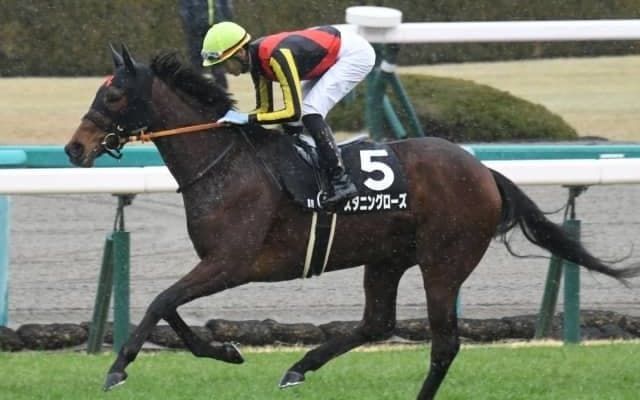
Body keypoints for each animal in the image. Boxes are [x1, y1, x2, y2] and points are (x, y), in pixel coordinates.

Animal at [64, 46, 640, 400]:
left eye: (112, 94)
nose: (74, 148)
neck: (225, 161)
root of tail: (484, 170)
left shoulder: (232, 262)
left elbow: (162, 301)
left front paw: (118, 367)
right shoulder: (218, 264)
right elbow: (171, 307)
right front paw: (225, 351)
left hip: (444, 260)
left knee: (443, 343)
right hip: (386, 259)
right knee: (377, 323)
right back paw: (298, 367)